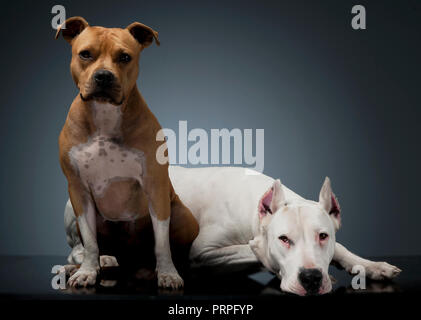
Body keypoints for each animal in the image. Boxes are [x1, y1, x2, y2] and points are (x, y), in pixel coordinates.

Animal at [55, 16, 199, 288]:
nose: (103, 76)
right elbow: (90, 243)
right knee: (88, 249)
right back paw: (77, 266)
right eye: (85, 54)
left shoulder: (155, 185)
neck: (105, 116)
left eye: (124, 57)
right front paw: (87, 271)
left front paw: (168, 274)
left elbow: (162, 243)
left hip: (185, 218)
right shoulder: (78, 190)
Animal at [65, 166, 400, 296]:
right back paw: (103, 259)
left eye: (323, 236)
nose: (311, 278)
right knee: (78, 247)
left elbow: (342, 249)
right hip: (78, 207)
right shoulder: (203, 254)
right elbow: (251, 250)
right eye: (283, 239)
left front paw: (372, 266)